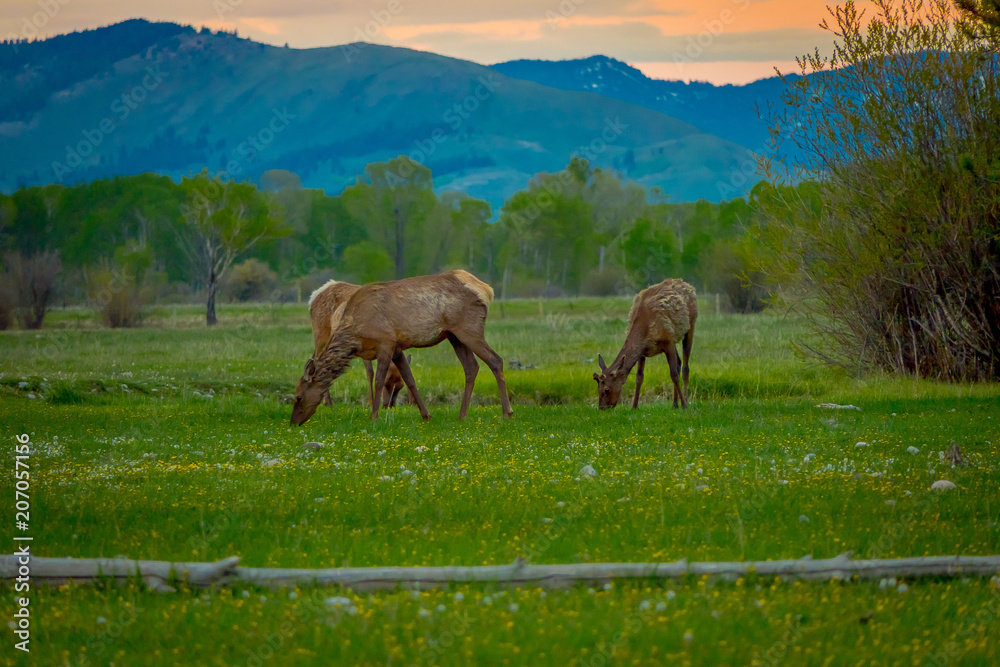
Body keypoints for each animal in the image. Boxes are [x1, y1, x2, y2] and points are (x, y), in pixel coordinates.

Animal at [308, 279, 415, 409]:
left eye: (401, 385)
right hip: (321, 335)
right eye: (385, 383)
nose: (389, 406)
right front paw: (371, 402)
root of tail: (315, 295)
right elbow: (370, 372)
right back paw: (327, 401)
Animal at [593, 278, 697, 410]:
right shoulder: (642, 352)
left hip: (690, 326)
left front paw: (684, 405)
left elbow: (673, 374)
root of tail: (687, 285)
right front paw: (634, 406)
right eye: (598, 389)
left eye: (607, 389)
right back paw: (674, 404)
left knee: (685, 367)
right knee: (679, 363)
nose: (602, 407)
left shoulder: (668, 341)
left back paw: (685, 401)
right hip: (674, 338)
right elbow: (639, 377)